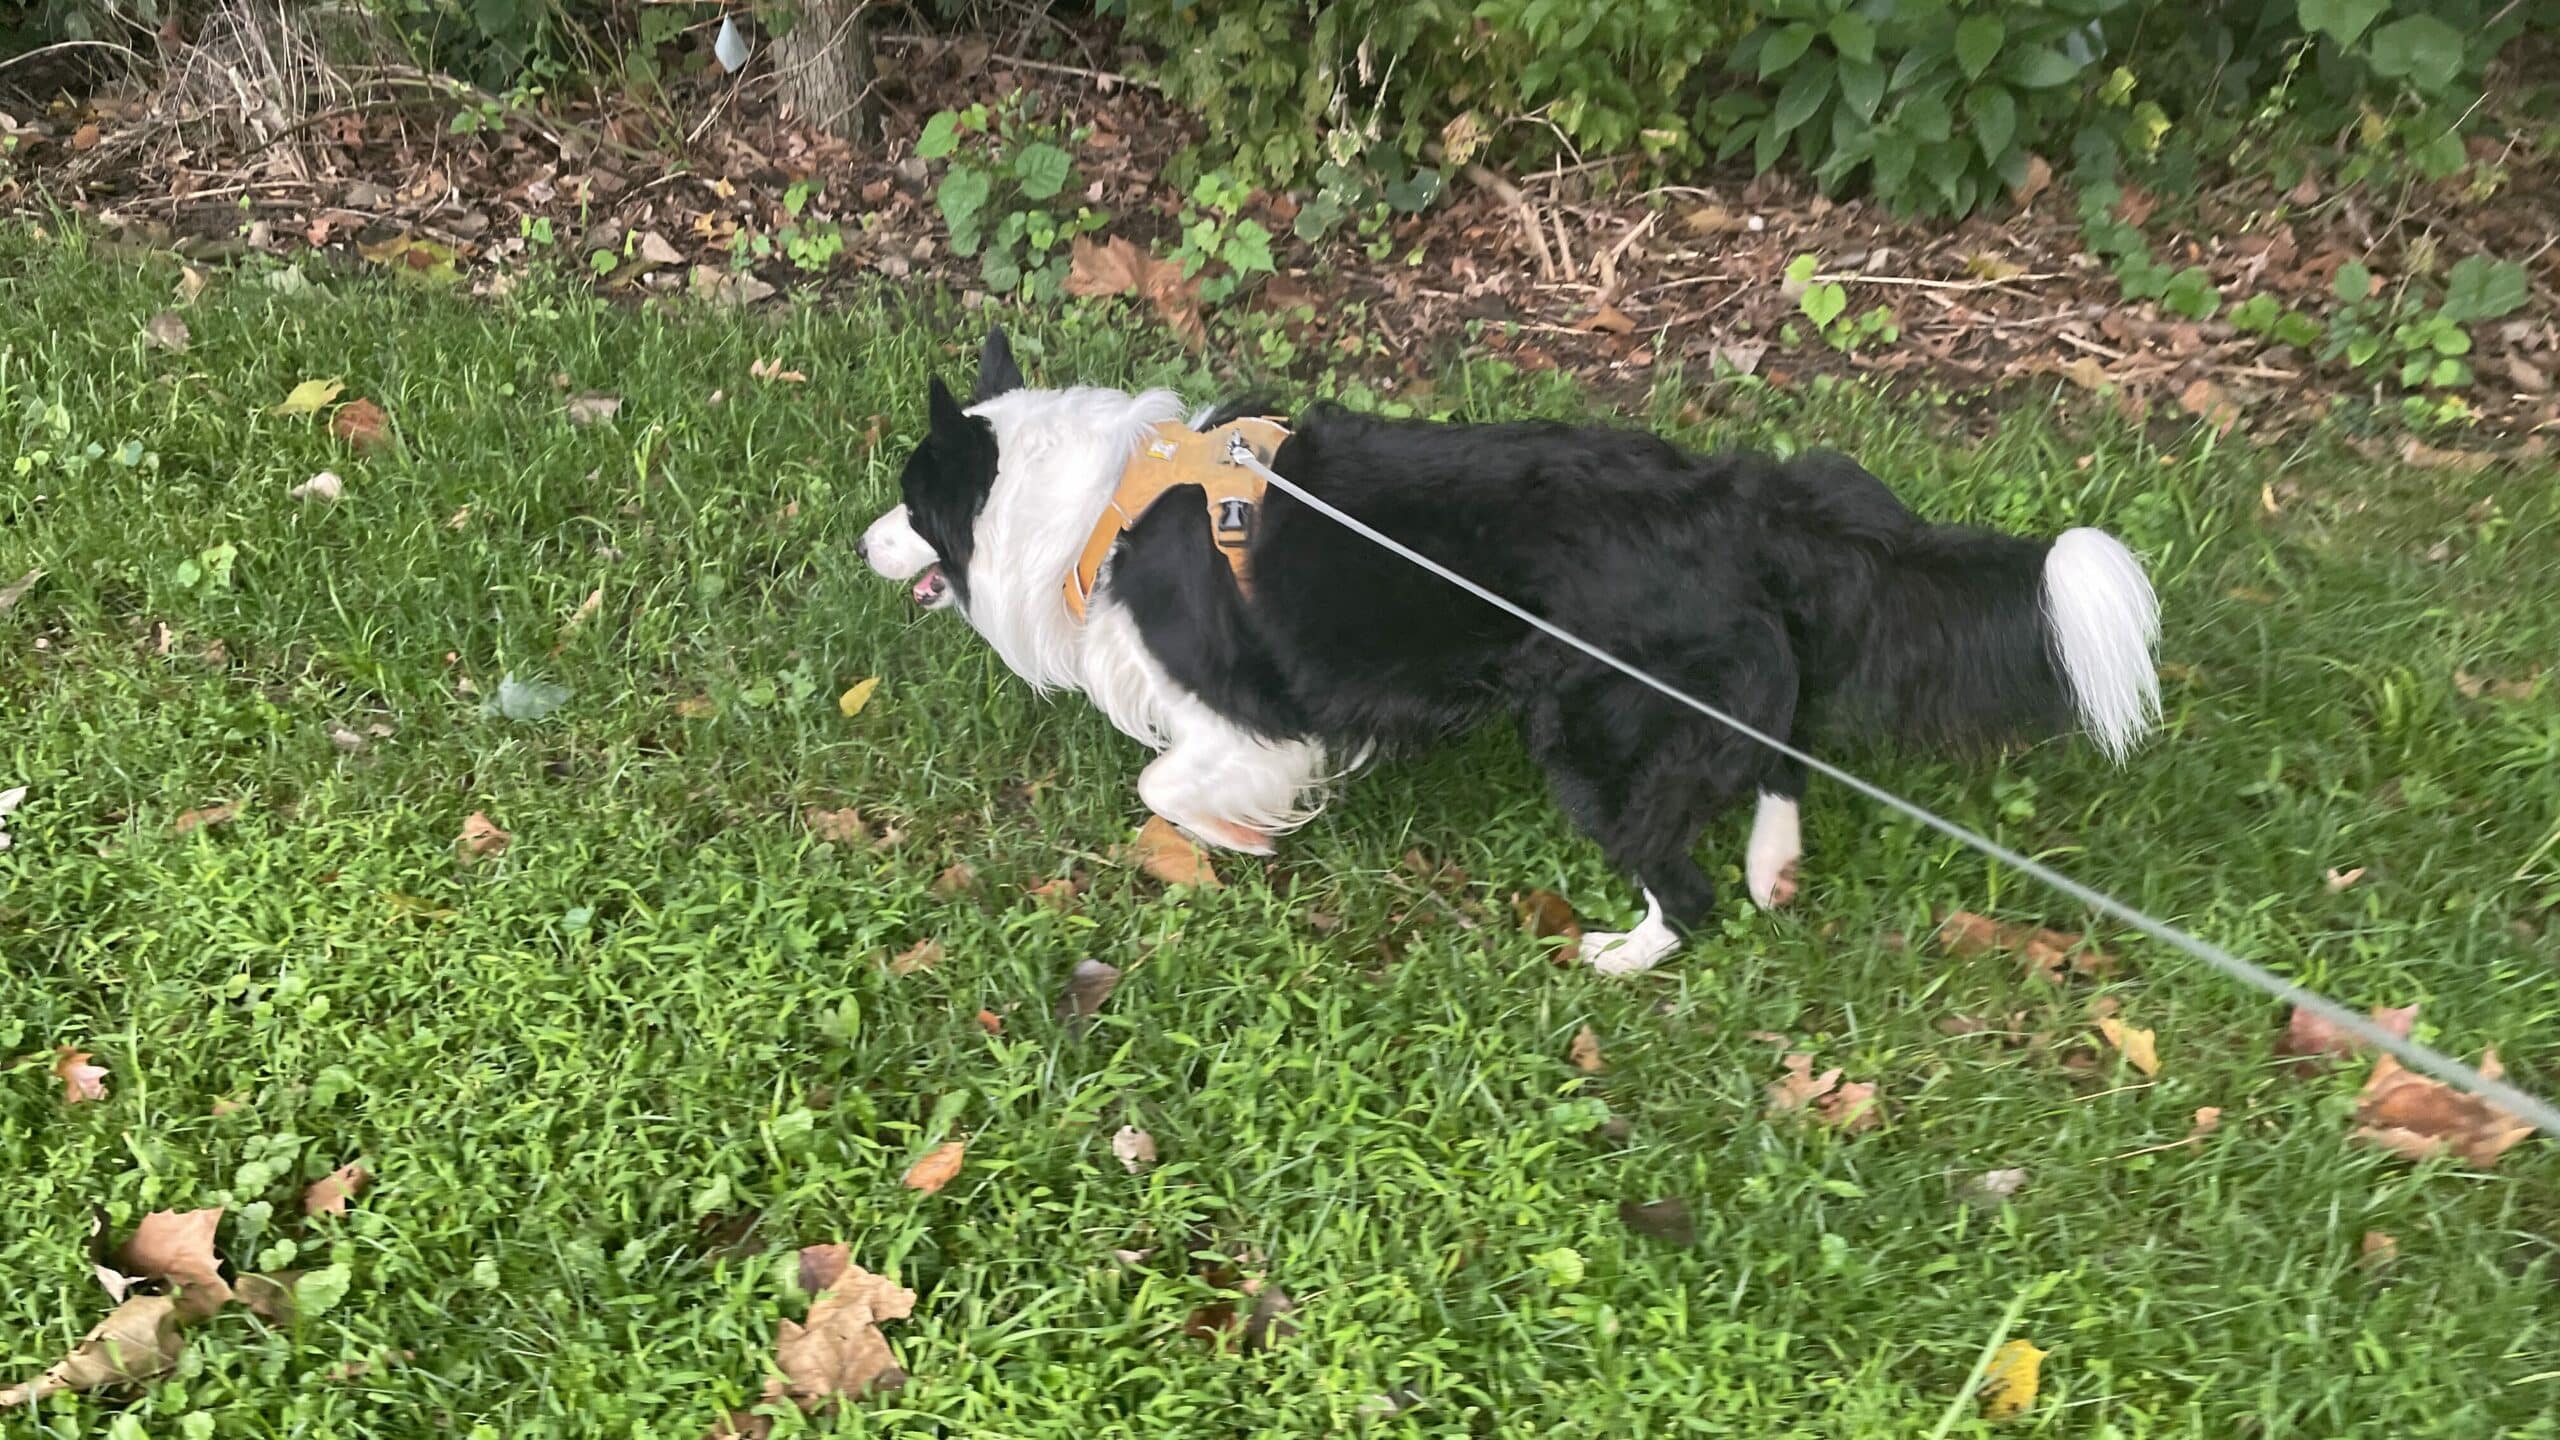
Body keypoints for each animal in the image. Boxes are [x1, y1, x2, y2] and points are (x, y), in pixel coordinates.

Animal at [865, 330, 2160, 968]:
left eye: (912, 501)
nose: (858, 539)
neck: (1093, 505)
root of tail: (1742, 502)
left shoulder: (1251, 709)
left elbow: (1168, 781)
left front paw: (1241, 835)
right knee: (1778, 746)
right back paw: (1773, 863)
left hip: (1589, 729)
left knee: (1683, 882)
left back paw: (1624, 953)